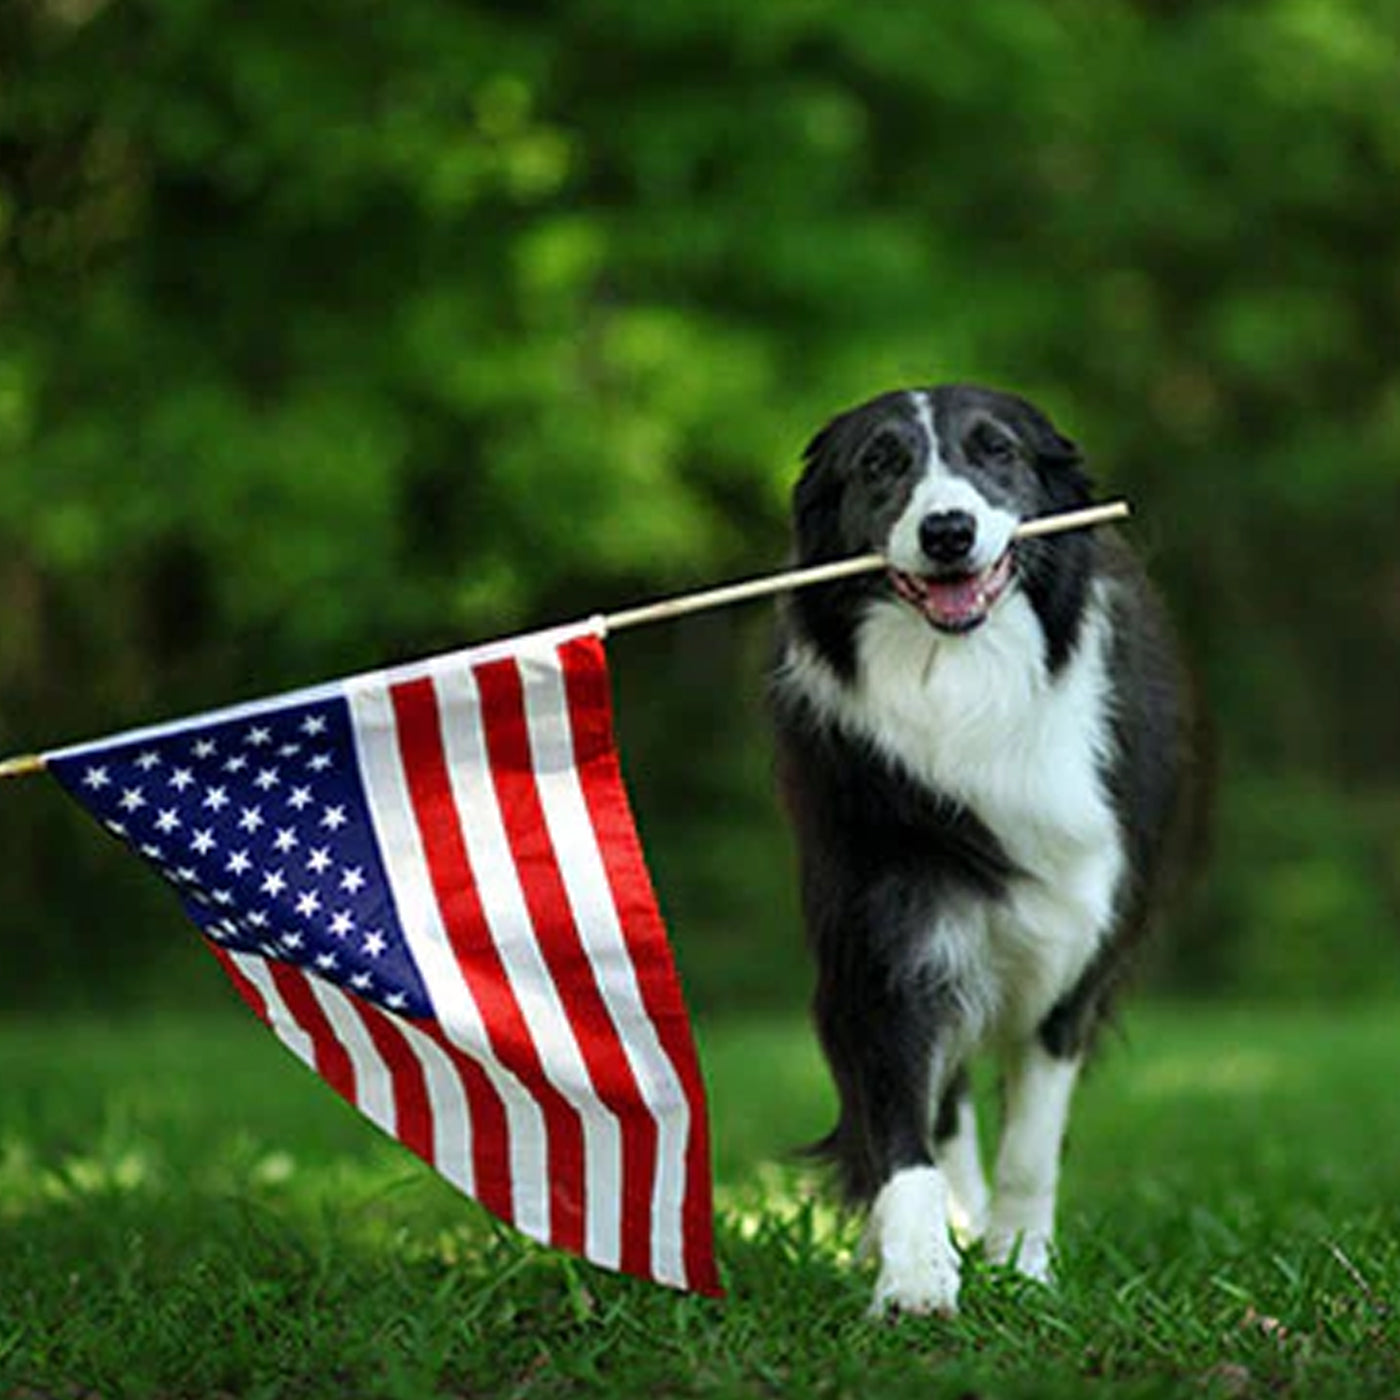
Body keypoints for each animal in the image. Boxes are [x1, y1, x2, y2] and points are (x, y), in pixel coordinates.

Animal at [772, 380, 1198, 1310]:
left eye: (996, 450)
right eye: (881, 462)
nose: (947, 532)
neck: (964, 684)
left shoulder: (1073, 956)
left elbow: (1032, 1144)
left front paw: (1021, 1266)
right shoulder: (882, 944)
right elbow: (903, 1132)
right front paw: (917, 1278)